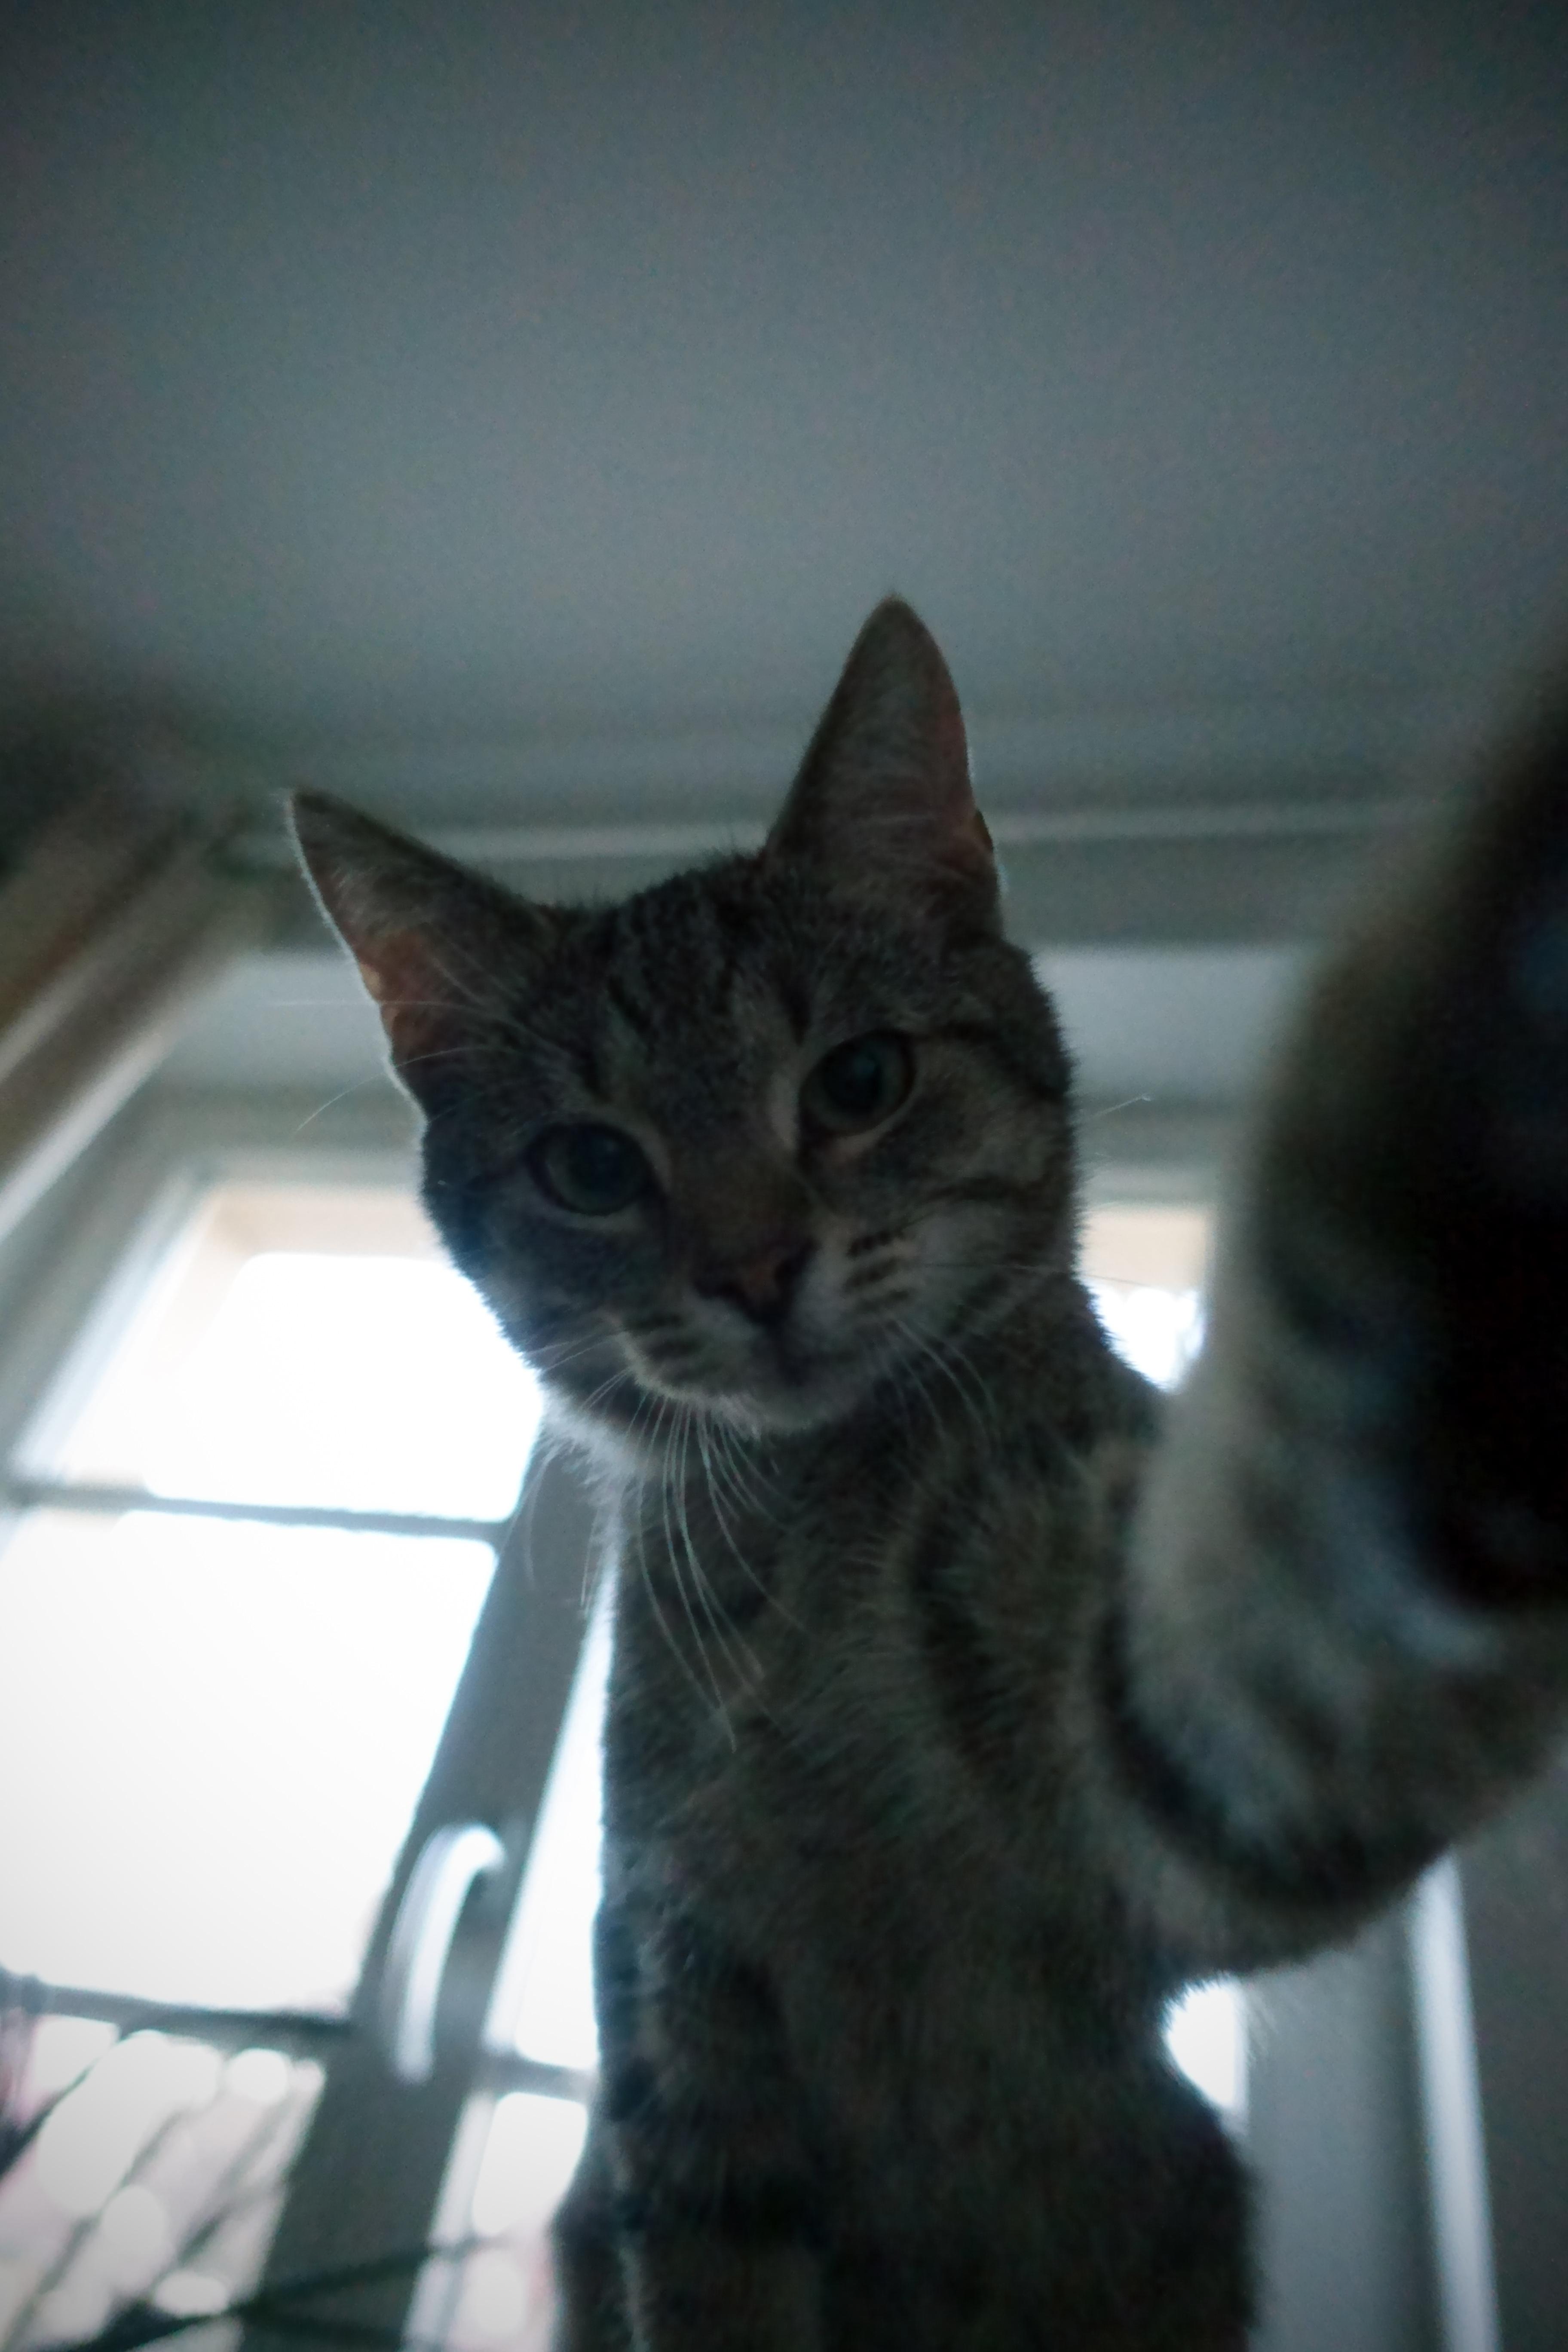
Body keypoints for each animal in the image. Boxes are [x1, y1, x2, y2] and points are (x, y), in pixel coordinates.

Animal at [288, 606, 1568, 2352]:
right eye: (591, 1165)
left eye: (858, 1081)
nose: (754, 1268)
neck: (809, 1527)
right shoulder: (680, 2010)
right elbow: (709, 2275)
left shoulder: (1145, 1774)